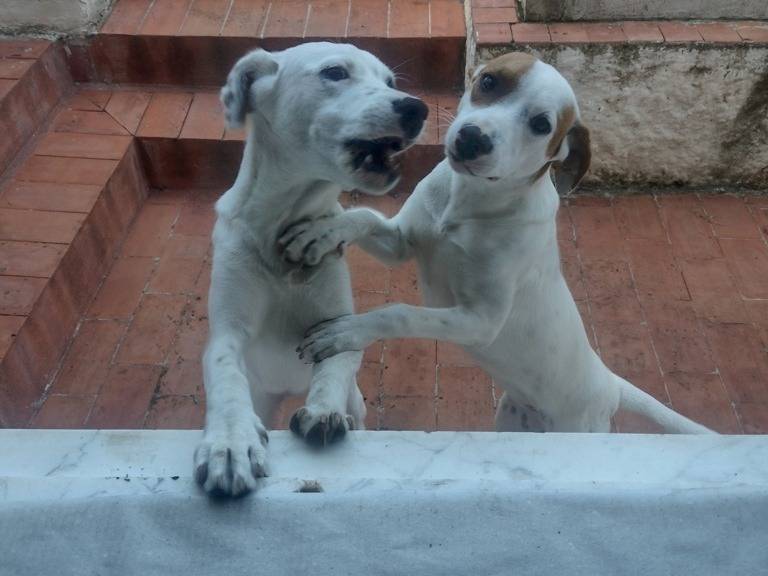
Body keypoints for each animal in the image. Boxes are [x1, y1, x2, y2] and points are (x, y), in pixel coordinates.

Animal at [195, 44, 428, 496]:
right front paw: (230, 443)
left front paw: (322, 412)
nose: (417, 108)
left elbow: (333, 366)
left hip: (358, 401)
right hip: (263, 394)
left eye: (390, 81)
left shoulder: (338, 327)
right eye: (334, 72)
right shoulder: (226, 334)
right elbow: (226, 377)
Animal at [284, 54, 712, 434]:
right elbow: (365, 217)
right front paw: (323, 231)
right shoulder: (401, 243)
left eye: (541, 124)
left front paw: (347, 331)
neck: (468, 202)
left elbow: (401, 312)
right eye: (489, 82)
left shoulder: (480, 320)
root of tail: (607, 380)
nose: (473, 138)